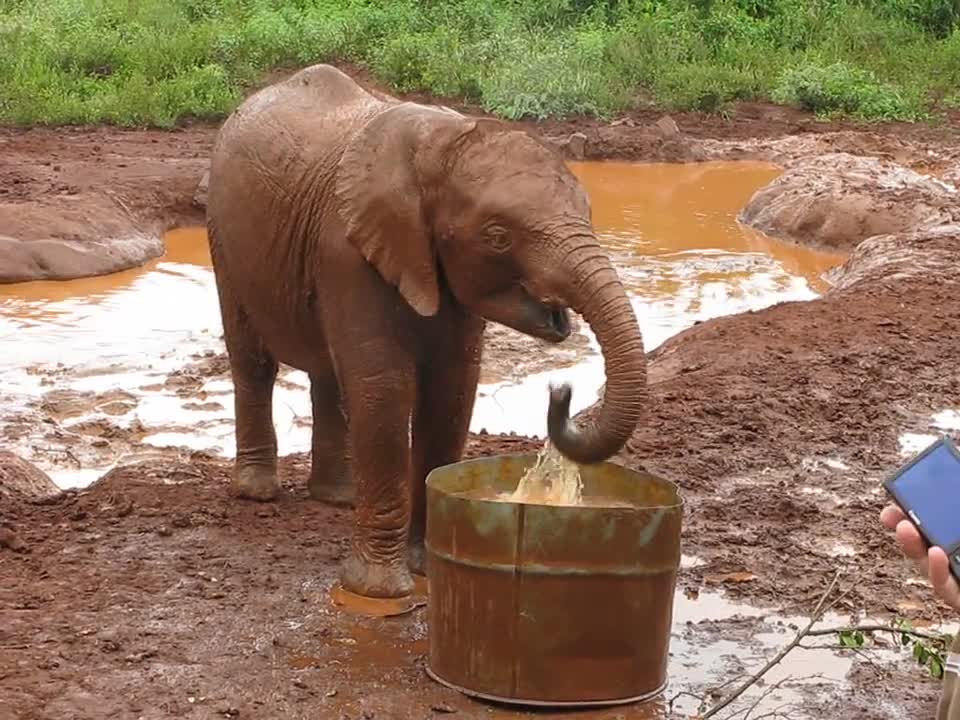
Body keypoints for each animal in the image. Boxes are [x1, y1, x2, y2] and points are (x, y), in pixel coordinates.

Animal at [206, 64, 648, 600]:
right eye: (498, 236)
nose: (560, 392)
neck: (443, 143)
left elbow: (452, 390)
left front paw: (426, 567)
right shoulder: (346, 250)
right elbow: (384, 389)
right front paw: (377, 591)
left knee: (327, 374)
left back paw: (336, 497)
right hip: (223, 234)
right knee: (254, 360)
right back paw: (258, 493)